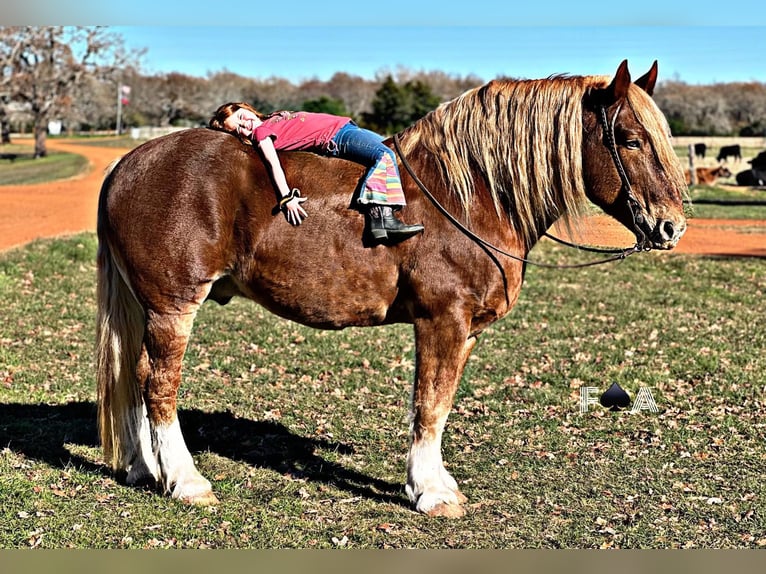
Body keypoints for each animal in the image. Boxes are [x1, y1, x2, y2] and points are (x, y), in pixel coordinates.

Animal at [96, 60, 688, 520]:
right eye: (630, 139)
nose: (671, 226)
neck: (473, 192)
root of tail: (127, 165)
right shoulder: (442, 320)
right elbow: (429, 405)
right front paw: (430, 492)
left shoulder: (466, 332)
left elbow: (440, 406)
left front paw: (434, 483)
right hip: (172, 307)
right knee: (158, 387)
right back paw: (184, 480)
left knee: (134, 378)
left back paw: (141, 468)